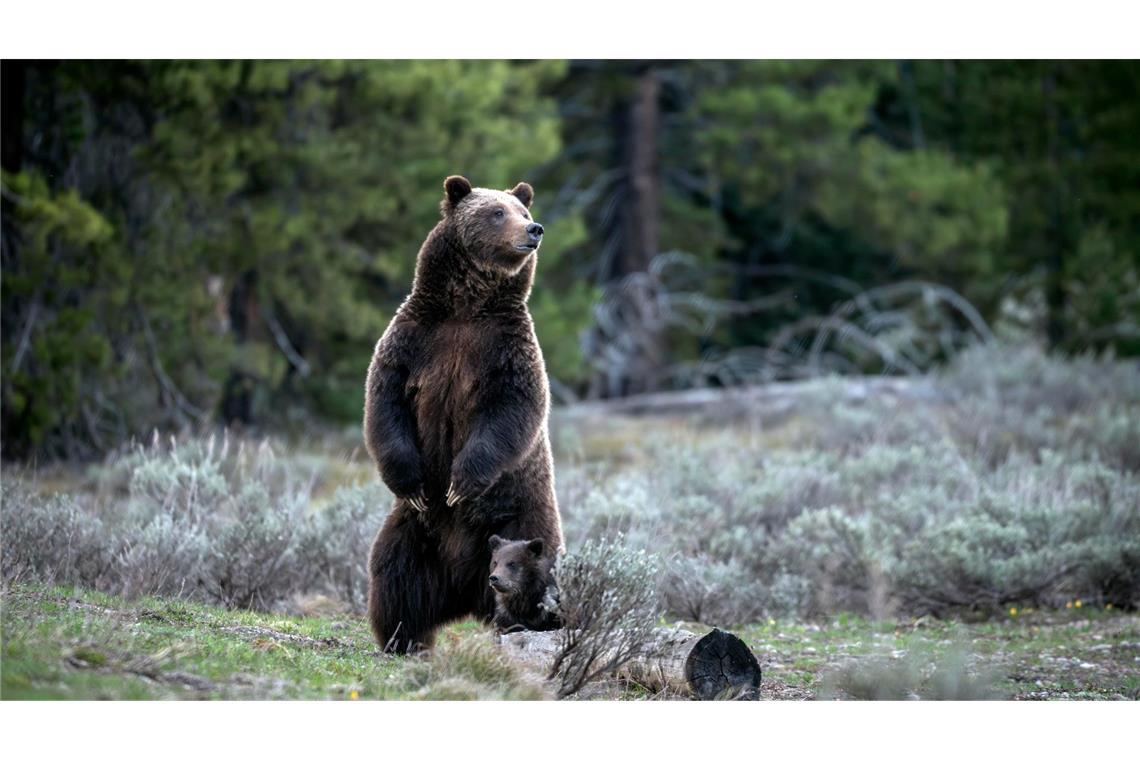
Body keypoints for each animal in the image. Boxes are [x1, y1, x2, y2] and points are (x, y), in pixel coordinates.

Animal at [362, 175, 563, 651]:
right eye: (497, 212)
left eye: (523, 211)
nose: (534, 230)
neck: (466, 307)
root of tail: (463, 590)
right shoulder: (414, 340)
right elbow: (385, 403)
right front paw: (414, 482)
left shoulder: (506, 350)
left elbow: (512, 410)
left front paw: (460, 483)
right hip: (415, 532)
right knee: (395, 575)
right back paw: (402, 638)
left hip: (523, 518)